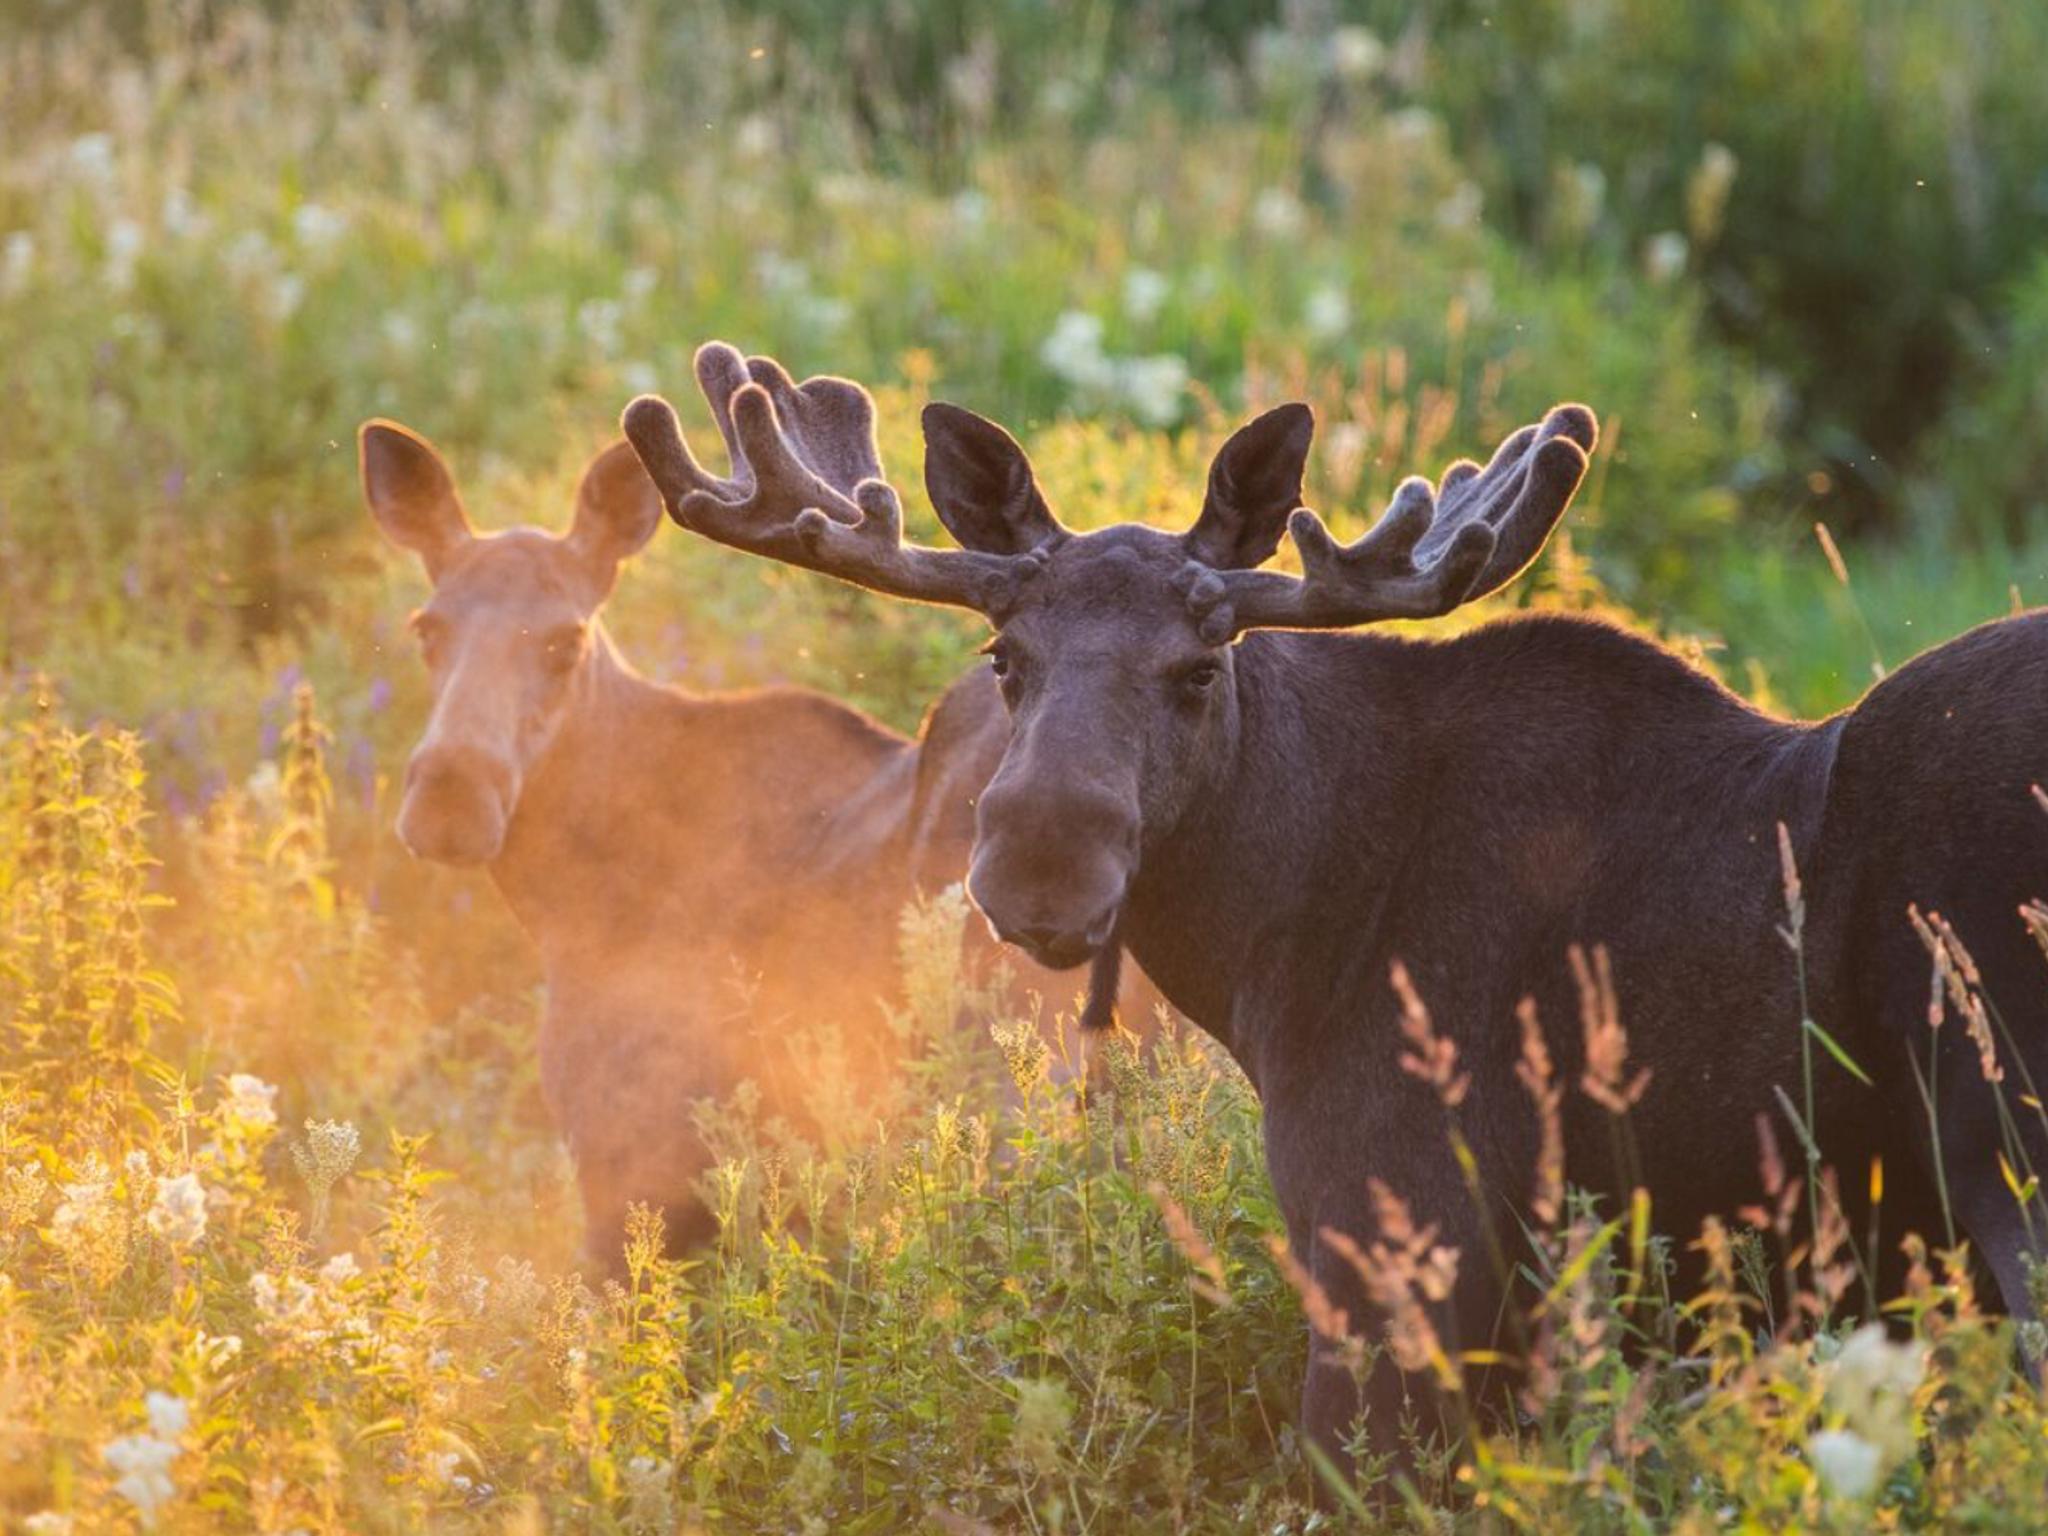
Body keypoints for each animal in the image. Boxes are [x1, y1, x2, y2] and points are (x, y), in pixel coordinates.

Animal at [623, 344, 2048, 1490]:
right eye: (1001, 657)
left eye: (1199, 668)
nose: (1038, 869)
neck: (1279, 947)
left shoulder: (1393, 1238)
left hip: (2005, 1157)